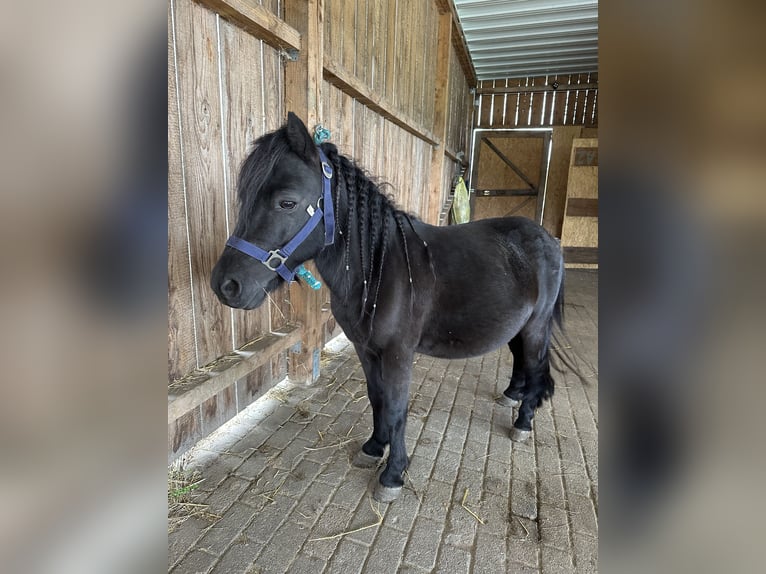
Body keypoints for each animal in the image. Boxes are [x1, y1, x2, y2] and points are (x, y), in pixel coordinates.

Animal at [213, 112, 568, 504]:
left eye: (286, 203)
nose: (226, 285)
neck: (379, 267)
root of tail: (546, 239)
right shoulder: (366, 349)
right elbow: (377, 398)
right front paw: (373, 447)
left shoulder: (398, 353)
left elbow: (397, 407)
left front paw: (393, 474)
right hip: (518, 326)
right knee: (522, 361)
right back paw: (511, 396)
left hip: (536, 326)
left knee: (535, 366)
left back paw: (523, 421)